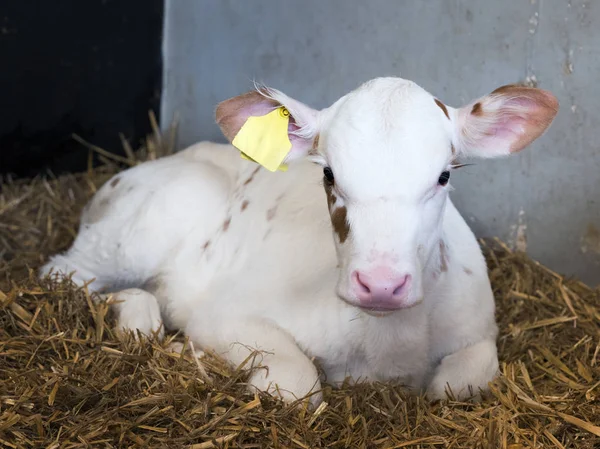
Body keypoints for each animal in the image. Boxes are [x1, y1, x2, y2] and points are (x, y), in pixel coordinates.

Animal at [42, 76, 556, 402]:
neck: (383, 345)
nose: (381, 284)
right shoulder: (224, 315)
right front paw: (197, 355)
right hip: (145, 225)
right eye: (329, 174)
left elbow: (459, 382)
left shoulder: (478, 330)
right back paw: (140, 321)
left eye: (444, 176)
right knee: (63, 273)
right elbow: (295, 384)